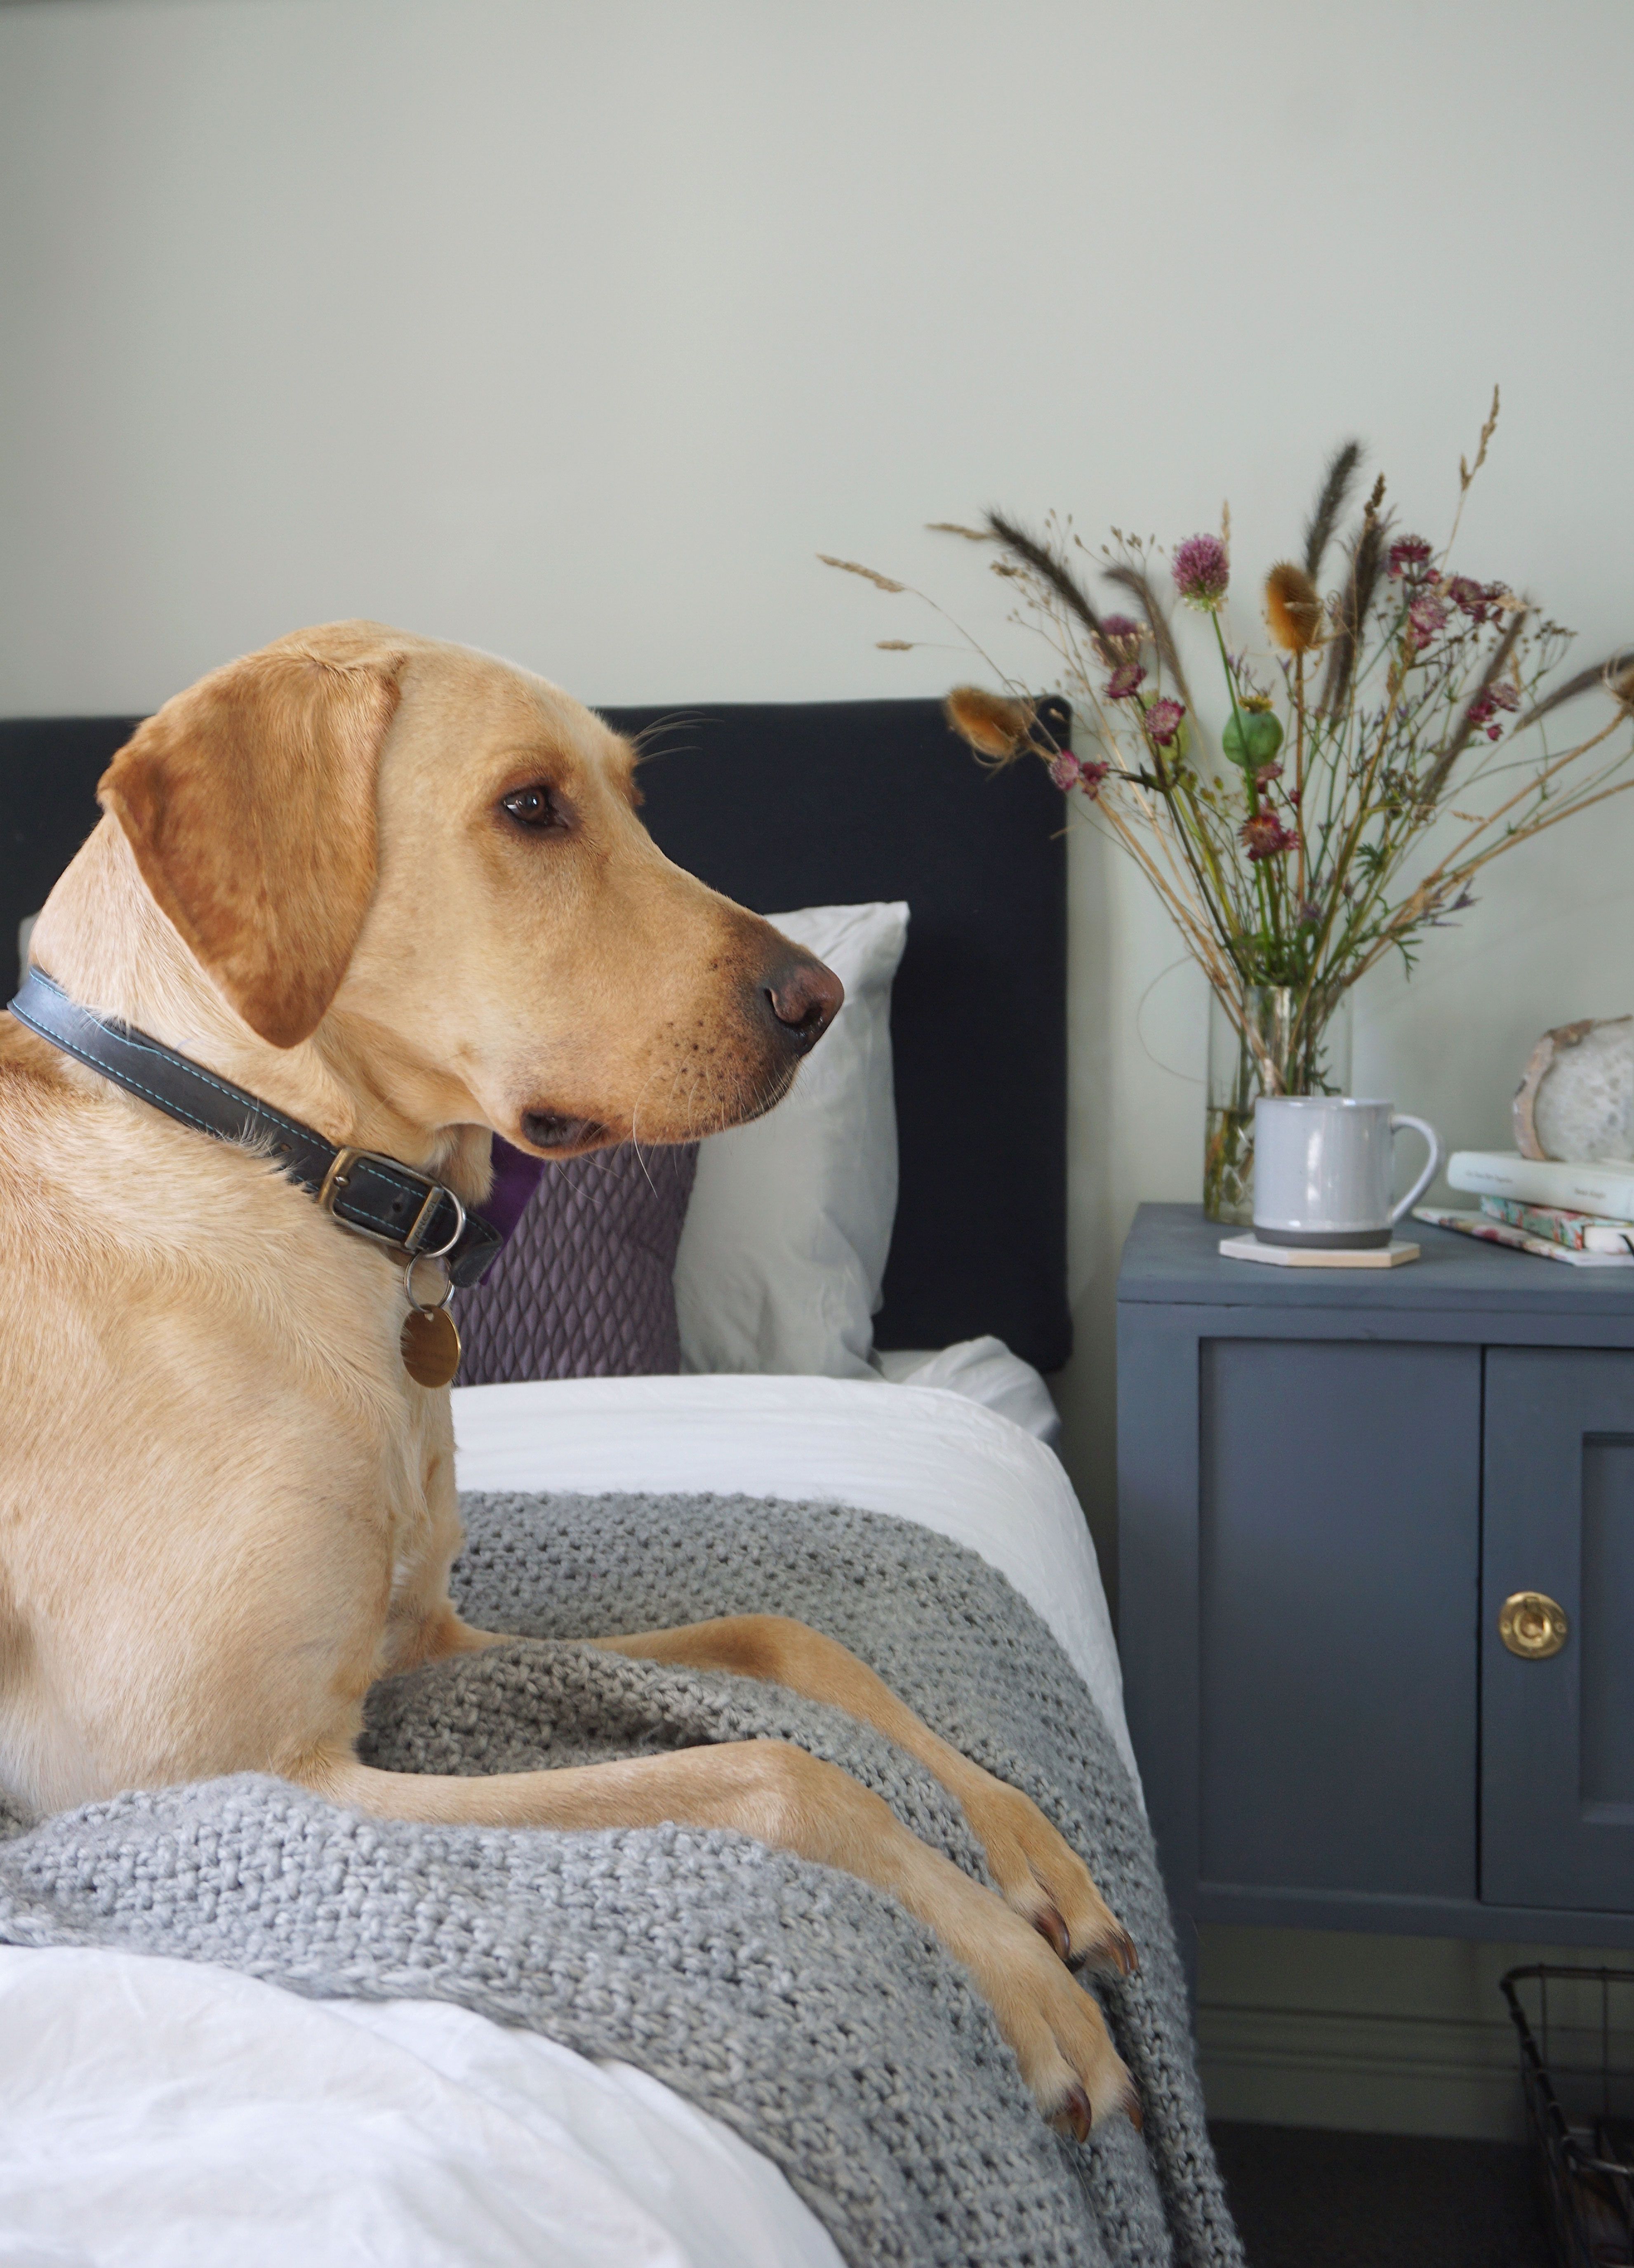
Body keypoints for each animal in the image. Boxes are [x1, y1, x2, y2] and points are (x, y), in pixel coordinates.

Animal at [0, 630, 1135, 2132]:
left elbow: (785, 1640)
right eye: (530, 807)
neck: (259, 1151)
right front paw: (1016, 1972)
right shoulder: (207, 1777)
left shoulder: (423, 1640)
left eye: (633, 799)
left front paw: (1020, 1840)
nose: (819, 1003)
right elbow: (779, 1770)